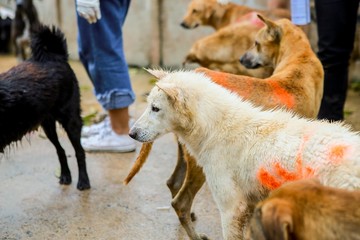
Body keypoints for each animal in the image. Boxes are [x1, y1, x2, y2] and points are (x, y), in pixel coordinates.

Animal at [0, 24, 90, 189]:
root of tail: (56, 56)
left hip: (71, 120)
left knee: (79, 151)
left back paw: (84, 181)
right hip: (48, 125)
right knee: (60, 150)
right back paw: (65, 175)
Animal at [124, 15, 324, 240]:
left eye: (256, 43)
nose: (242, 59)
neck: (299, 58)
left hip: (187, 157)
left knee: (174, 184)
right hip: (199, 167)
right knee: (180, 202)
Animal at [130, 68, 360, 239]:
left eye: (155, 108)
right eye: (149, 105)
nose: (132, 133)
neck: (218, 128)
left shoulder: (232, 208)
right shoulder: (249, 206)